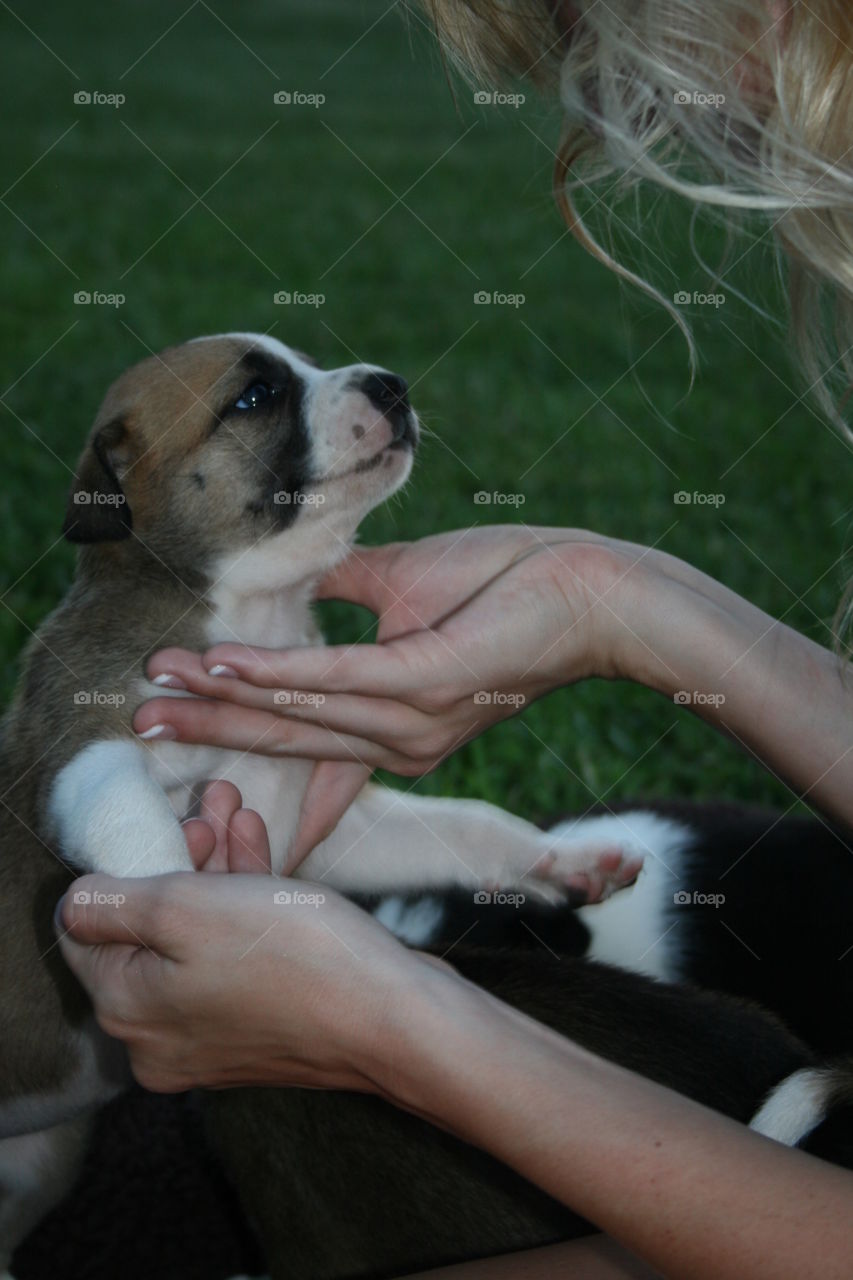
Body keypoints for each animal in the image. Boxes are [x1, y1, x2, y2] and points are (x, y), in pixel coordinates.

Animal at [0, 332, 645, 1269]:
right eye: (254, 396)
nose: (392, 384)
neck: (253, 611)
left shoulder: (330, 825)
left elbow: (462, 825)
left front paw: (560, 855)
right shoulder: (87, 751)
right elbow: (141, 830)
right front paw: (176, 907)